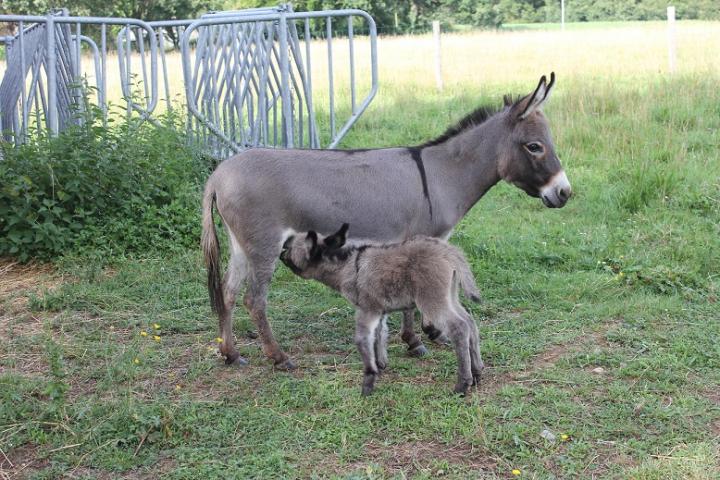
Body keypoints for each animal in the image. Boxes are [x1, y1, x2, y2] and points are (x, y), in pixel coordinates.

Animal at [280, 223, 484, 396]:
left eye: (290, 248)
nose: (280, 254)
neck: (347, 267)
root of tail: (449, 252)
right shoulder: (379, 311)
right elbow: (379, 335)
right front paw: (381, 364)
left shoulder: (366, 309)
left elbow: (362, 340)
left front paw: (368, 383)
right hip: (450, 295)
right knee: (470, 322)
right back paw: (477, 373)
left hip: (432, 299)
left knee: (459, 328)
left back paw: (462, 384)